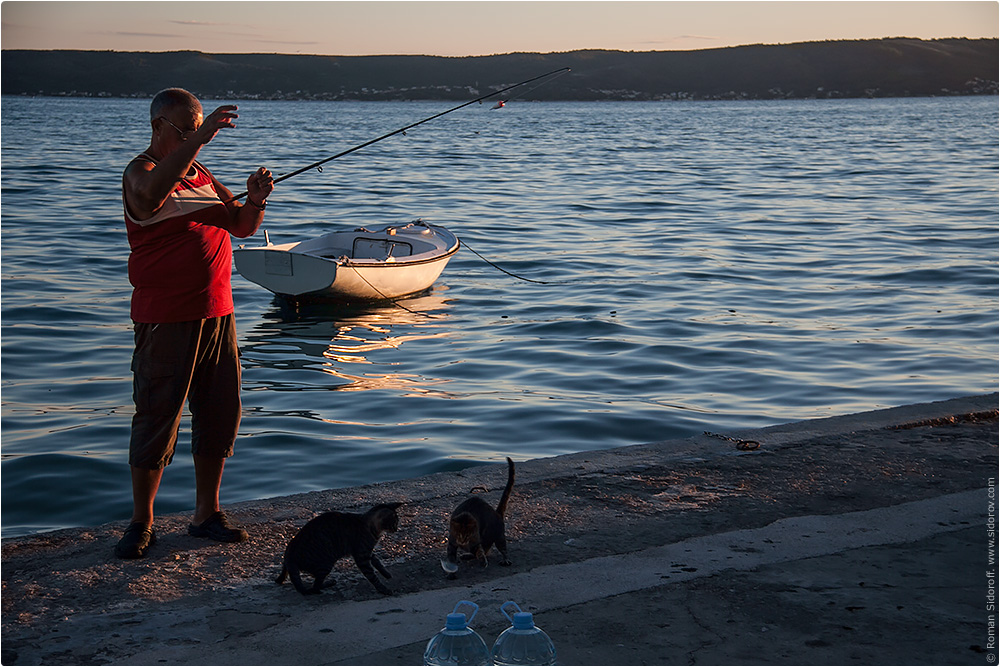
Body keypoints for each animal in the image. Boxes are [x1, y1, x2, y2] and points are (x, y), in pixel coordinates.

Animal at [274, 504, 402, 596]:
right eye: (394, 523)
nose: (396, 529)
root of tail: (289, 555)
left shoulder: (366, 551)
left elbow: (376, 560)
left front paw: (385, 573)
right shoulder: (361, 555)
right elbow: (373, 576)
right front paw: (383, 589)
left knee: (315, 583)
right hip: (326, 563)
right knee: (315, 588)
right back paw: (326, 584)